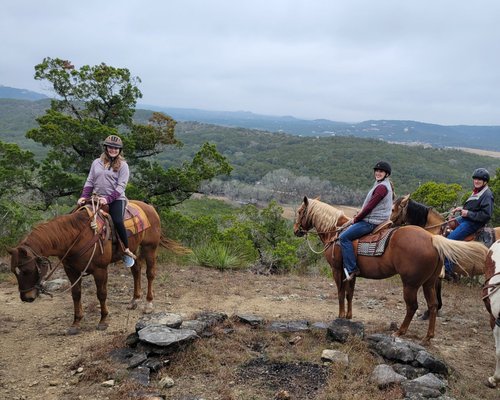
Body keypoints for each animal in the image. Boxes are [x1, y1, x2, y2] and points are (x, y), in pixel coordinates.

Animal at [10, 200, 188, 334]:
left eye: (27, 270)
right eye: (14, 272)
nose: (26, 297)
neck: (76, 236)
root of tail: (150, 208)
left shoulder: (100, 270)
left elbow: (101, 294)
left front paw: (103, 320)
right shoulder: (71, 271)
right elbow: (76, 294)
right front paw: (76, 323)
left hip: (150, 247)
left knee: (150, 274)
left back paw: (148, 304)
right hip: (132, 250)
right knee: (136, 270)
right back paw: (134, 300)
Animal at [292, 197, 488, 344]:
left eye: (300, 211)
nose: (295, 231)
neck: (336, 233)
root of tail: (433, 239)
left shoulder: (337, 270)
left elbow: (340, 293)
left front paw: (340, 316)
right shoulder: (351, 272)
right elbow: (349, 294)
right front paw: (348, 316)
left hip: (410, 284)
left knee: (412, 306)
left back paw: (400, 332)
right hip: (429, 282)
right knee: (432, 306)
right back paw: (428, 337)